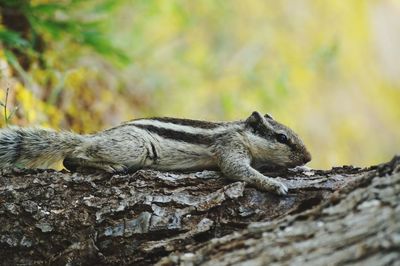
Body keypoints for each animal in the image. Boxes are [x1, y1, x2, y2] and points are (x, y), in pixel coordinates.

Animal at [0, 111, 312, 194]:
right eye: (282, 138)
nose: (308, 158)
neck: (240, 131)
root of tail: (97, 135)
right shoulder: (229, 146)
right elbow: (237, 170)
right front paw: (274, 184)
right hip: (134, 147)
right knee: (73, 155)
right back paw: (107, 167)